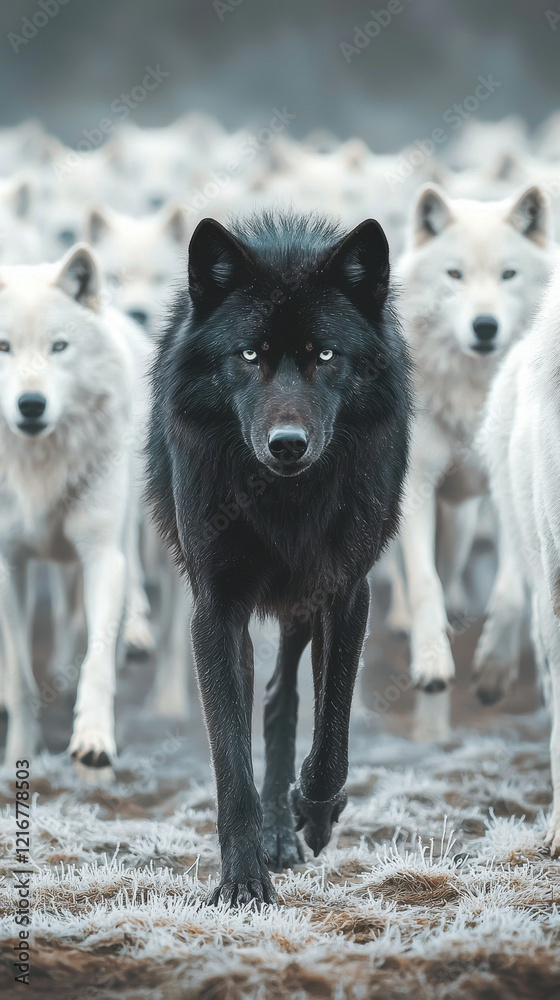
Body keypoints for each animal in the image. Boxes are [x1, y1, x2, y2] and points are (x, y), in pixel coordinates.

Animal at [0, 244, 152, 766]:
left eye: (59, 347)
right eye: (3, 347)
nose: (30, 404)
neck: (40, 466)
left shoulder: (102, 556)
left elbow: (97, 659)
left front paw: (93, 738)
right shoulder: (8, 566)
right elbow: (18, 674)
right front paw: (19, 750)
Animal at [147, 211, 412, 905]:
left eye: (325, 355)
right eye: (248, 356)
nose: (287, 444)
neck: (284, 499)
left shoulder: (346, 592)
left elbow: (332, 732)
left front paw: (314, 810)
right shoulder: (215, 609)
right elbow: (230, 765)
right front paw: (243, 882)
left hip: (303, 605)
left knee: (284, 697)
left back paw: (299, 825)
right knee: (262, 700)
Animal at [393, 182, 552, 707]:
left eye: (508, 274)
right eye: (455, 274)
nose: (485, 326)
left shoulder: (509, 488)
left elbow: (510, 591)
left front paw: (495, 667)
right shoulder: (415, 485)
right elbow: (423, 580)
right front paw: (431, 663)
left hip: (464, 516)